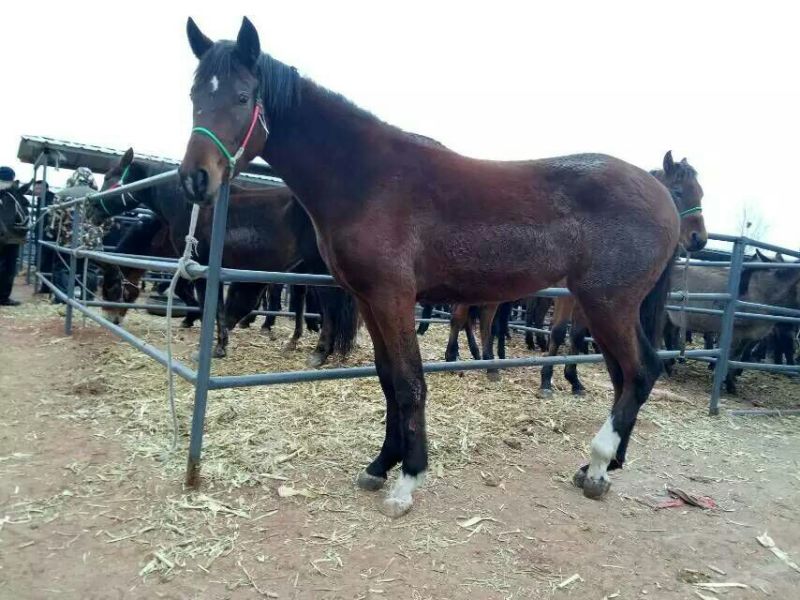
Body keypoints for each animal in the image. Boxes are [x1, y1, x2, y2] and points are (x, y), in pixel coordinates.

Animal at [87, 150, 358, 365]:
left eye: (110, 177)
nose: (91, 209)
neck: (190, 209)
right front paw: (221, 343)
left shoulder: (201, 270)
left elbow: (211, 306)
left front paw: (212, 347)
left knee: (329, 307)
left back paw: (320, 353)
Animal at [179, 18, 680, 515]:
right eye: (194, 95)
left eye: (243, 97)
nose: (194, 179)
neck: (367, 178)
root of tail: (663, 197)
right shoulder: (369, 300)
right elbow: (387, 380)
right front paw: (381, 465)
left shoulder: (394, 298)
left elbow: (408, 382)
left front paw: (408, 478)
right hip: (604, 306)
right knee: (624, 374)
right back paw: (607, 466)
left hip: (608, 302)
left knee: (639, 371)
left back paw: (597, 465)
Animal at [541, 152, 708, 394]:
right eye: (677, 191)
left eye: (701, 193)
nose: (700, 239)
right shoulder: (565, 294)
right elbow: (559, 331)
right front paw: (545, 380)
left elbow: (578, 334)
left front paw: (574, 380)